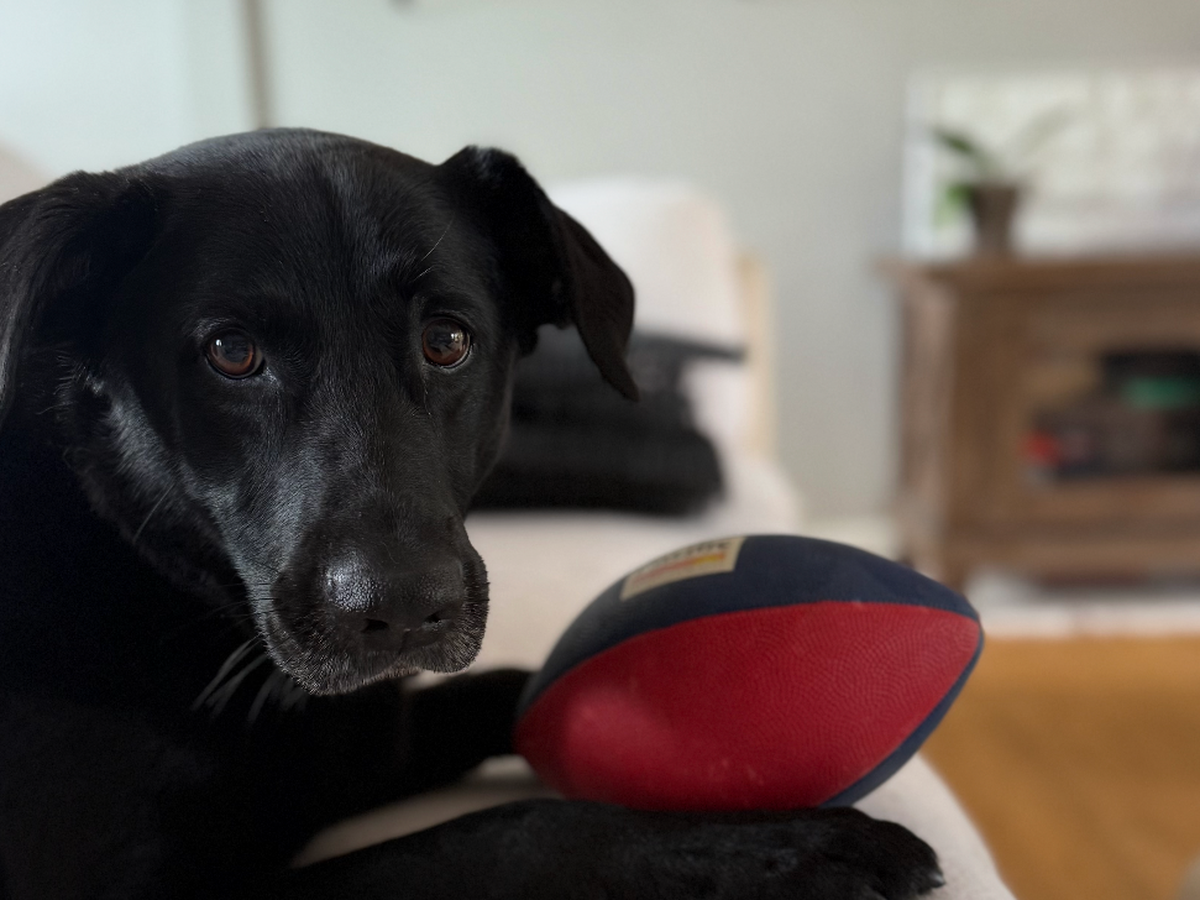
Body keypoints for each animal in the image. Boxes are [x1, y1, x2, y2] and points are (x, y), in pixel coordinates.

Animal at [0, 128, 943, 899]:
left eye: (447, 340)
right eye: (231, 352)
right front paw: (778, 849)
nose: (402, 612)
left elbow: (523, 683)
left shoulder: (359, 735)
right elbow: (505, 831)